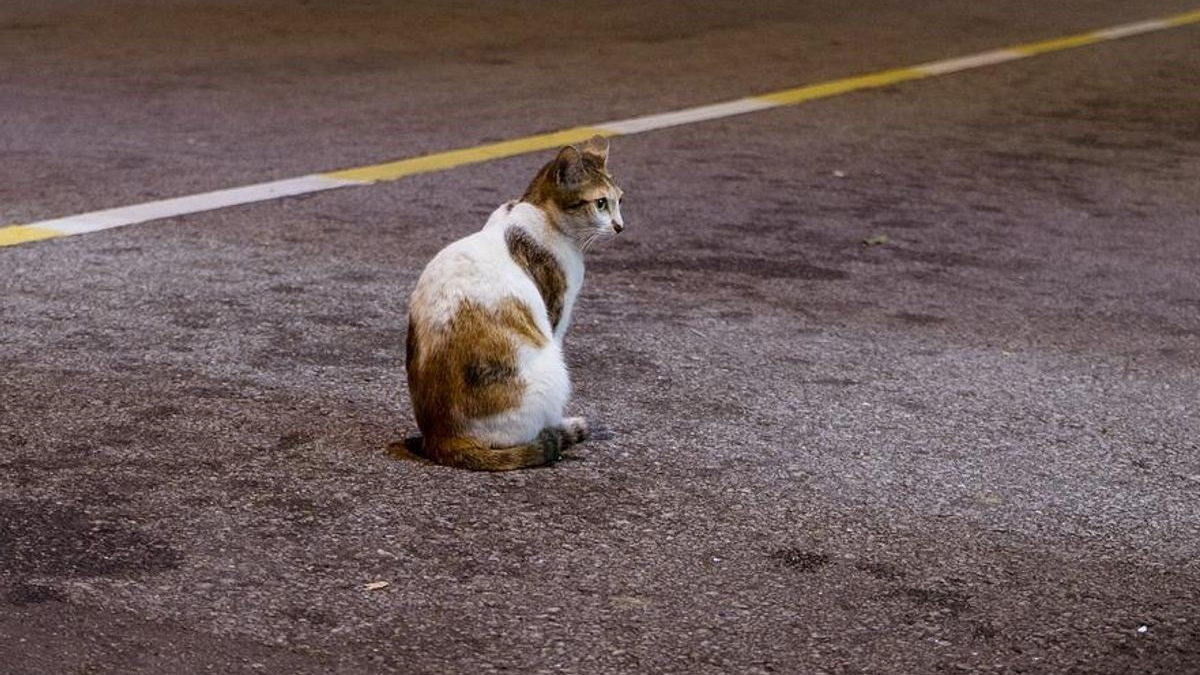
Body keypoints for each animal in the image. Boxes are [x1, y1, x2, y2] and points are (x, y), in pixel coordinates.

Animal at [405, 136, 628, 470]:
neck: (539, 212)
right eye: (601, 203)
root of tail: (441, 438)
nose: (619, 226)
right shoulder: (556, 314)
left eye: (620, 201)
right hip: (553, 371)